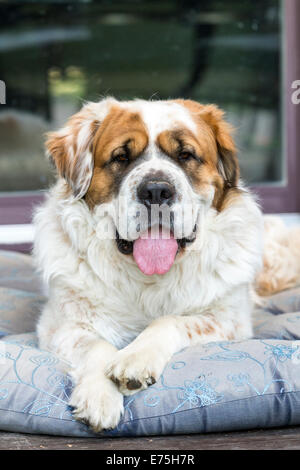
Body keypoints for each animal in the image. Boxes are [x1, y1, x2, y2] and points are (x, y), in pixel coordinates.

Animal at [32, 97, 264, 432]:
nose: (156, 190)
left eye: (185, 155)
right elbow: (96, 346)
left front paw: (135, 359)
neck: (147, 281)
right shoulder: (61, 326)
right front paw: (99, 396)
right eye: (121, 157)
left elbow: (171, 321)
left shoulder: (228, 320)